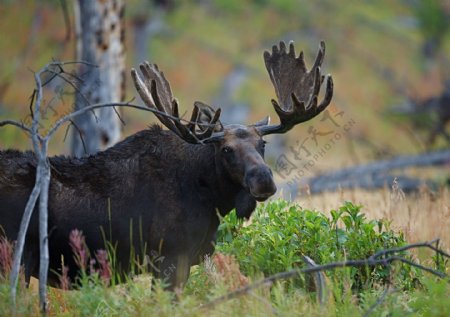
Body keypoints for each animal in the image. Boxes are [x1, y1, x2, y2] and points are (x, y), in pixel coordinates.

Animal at [0, 40, 334, 288]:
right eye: (226, 149)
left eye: (262, 145)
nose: (263, 179)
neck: (210, 201)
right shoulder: (170, 258)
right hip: (15, 256)